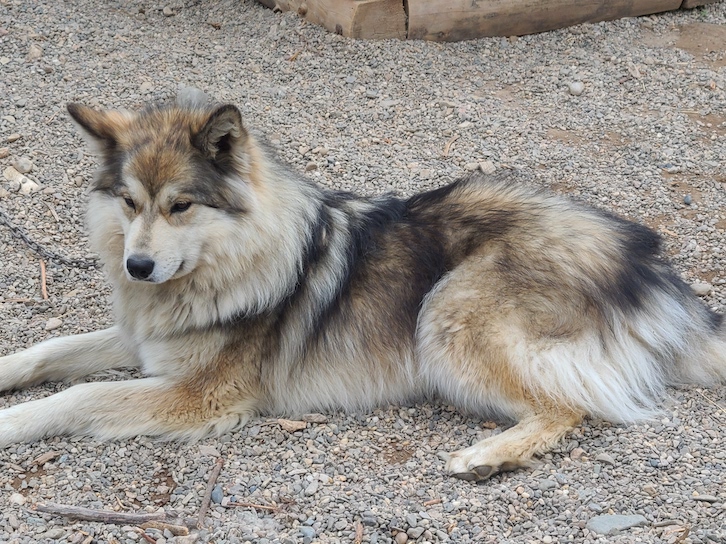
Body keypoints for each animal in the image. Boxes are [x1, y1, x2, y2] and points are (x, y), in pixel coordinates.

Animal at [0, 90, 724, 484]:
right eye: (128, 202)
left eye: (180, 206)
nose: (138, 267)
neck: (227, 263)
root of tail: (646, 259)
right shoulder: (145, 340)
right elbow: (51, 351)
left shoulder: (199, 395)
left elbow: (82, 396)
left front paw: (14, 422)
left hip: (446, 317)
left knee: (571, 410)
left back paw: (486, 457)